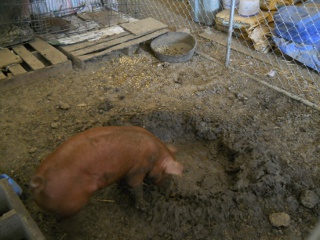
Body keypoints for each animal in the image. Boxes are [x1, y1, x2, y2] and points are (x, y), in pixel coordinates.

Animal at [30, 126, 185, 218]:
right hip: (71, 202)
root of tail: (39, 182)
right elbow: (136, 185)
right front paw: (144, 207)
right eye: (169, 175)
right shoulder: (139, 167)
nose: (169, 195)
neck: (157, 153)